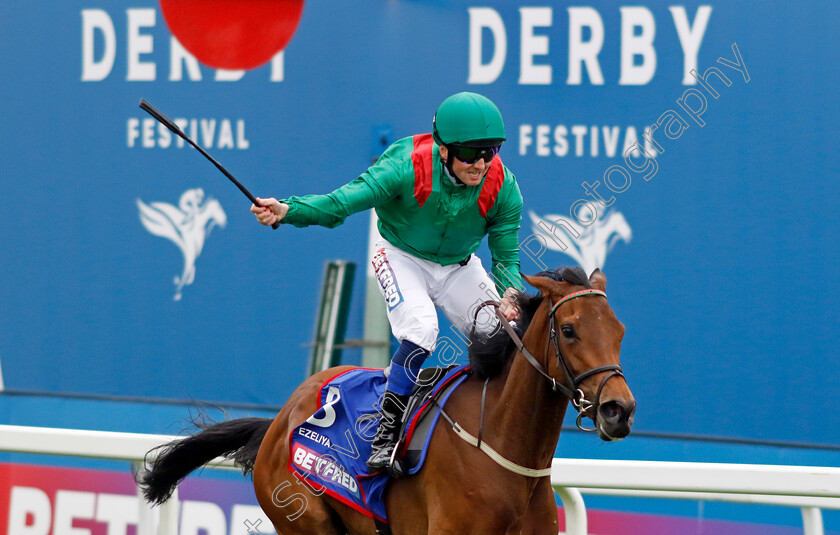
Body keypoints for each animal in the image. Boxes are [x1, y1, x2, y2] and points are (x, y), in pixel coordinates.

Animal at [139, 268, 636, 535]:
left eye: (619, 330)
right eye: (568, 330)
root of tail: (278, 420)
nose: (619, 410)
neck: (500, 443)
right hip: (303, 519)